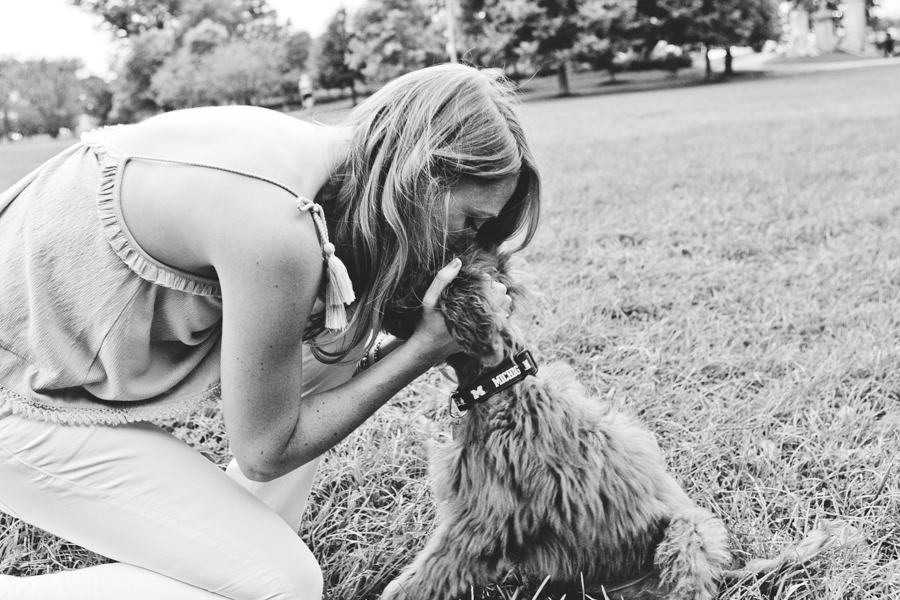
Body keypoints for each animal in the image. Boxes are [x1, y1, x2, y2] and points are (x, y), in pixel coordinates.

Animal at [380, 251, 732, 596]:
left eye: (420, 279)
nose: (382, 303)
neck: (503, 387)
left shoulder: (480, 518)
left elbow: (425, 576)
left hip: (688, 532)